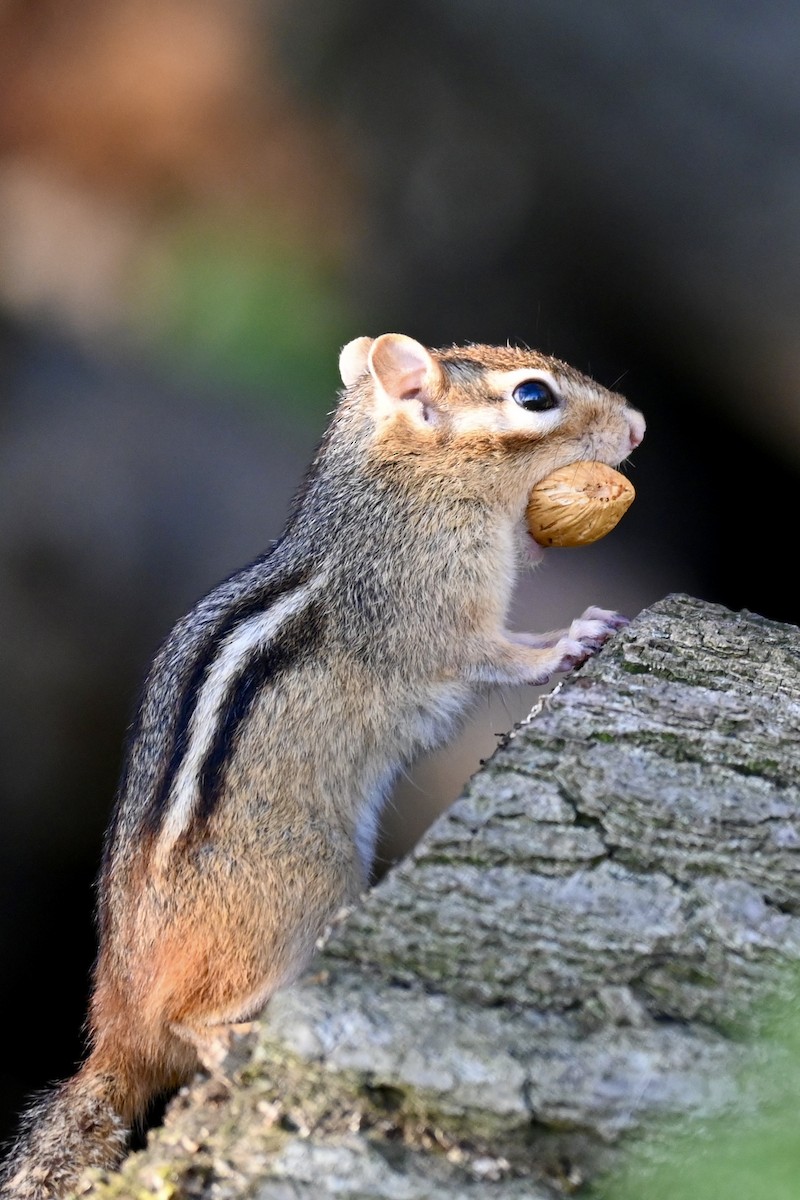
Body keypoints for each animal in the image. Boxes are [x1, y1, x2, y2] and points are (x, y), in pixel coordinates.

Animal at [1, 334, 644, 1198]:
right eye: (535, 397)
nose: (639, 426)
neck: (403, 487)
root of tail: (116, 1025)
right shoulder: (437, 618)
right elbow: (502, 654)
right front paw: (574, 635)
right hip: (310, 886)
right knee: (187, 1024)